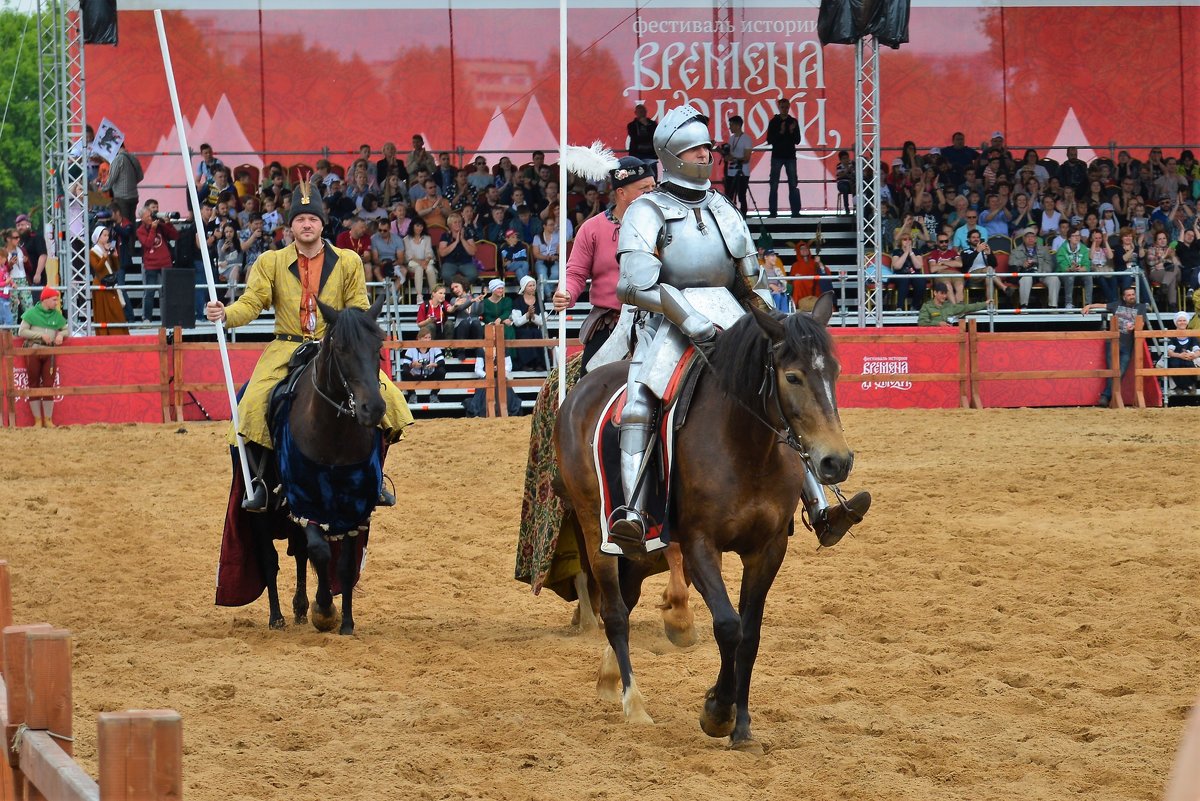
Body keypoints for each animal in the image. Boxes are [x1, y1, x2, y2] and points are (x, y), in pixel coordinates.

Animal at [247, 293, 386, 637]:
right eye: (341, 348)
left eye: (378, 345)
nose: (373, 408)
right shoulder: (305, 496)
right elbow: (320, 552)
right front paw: (324, 610)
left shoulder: (355, 505)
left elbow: (344, 565)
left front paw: (346, 622)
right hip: (263, 507)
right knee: (271, 557)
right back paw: (277, 617)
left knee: (298, 551)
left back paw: (299, 608)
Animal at [556, 292, 859, 753]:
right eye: (792, 376)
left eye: (835, 373)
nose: (835, 461)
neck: (745, 447)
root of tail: (582, 388)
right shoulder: (701, 546)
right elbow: (728, 626)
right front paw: (717, 711)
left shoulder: (767, 551)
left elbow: (750, 634)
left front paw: (742, 726)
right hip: (597, 529)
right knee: (615, 612)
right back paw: (633, 703)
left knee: (626, 599)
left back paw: (610, 679)